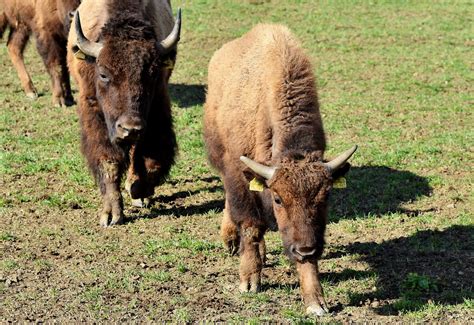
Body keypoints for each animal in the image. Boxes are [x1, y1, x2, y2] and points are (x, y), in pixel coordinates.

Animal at [65, 0, 180, 227]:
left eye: (152, 73)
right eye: (103, 74)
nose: (130, 128)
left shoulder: (157, 112)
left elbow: (152, 160)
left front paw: (139, 191)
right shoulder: (96, 117)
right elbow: (108, 162)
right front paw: (111, 214)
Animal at [203, 24, 356, 316]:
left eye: (326, 196)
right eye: (278, 199)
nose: (307, 250)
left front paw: (315, 302)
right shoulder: (239, 176)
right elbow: (250, 225)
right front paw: (249, 282)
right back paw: (232, 241)